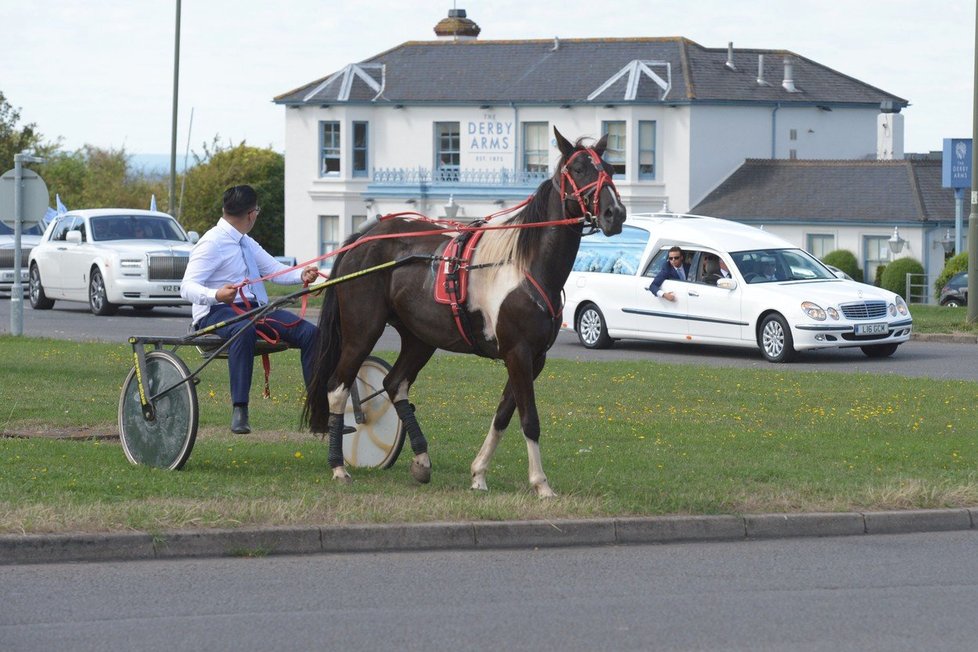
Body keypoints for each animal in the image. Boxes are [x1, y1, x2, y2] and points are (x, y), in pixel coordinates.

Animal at [304, 126, 624, 494]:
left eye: (610, 170)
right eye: (579, 169)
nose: (615, 213)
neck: (524, 266)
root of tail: (363, 238)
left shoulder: (535, 357)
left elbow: (503, 415)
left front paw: (479, 472)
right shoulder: (518, 352)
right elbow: (529, 419)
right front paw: (541, 483)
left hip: (420, 338)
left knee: (395, 383)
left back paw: (421, 459)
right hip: (362, 332)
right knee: (338, 388)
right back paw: (339, 466)